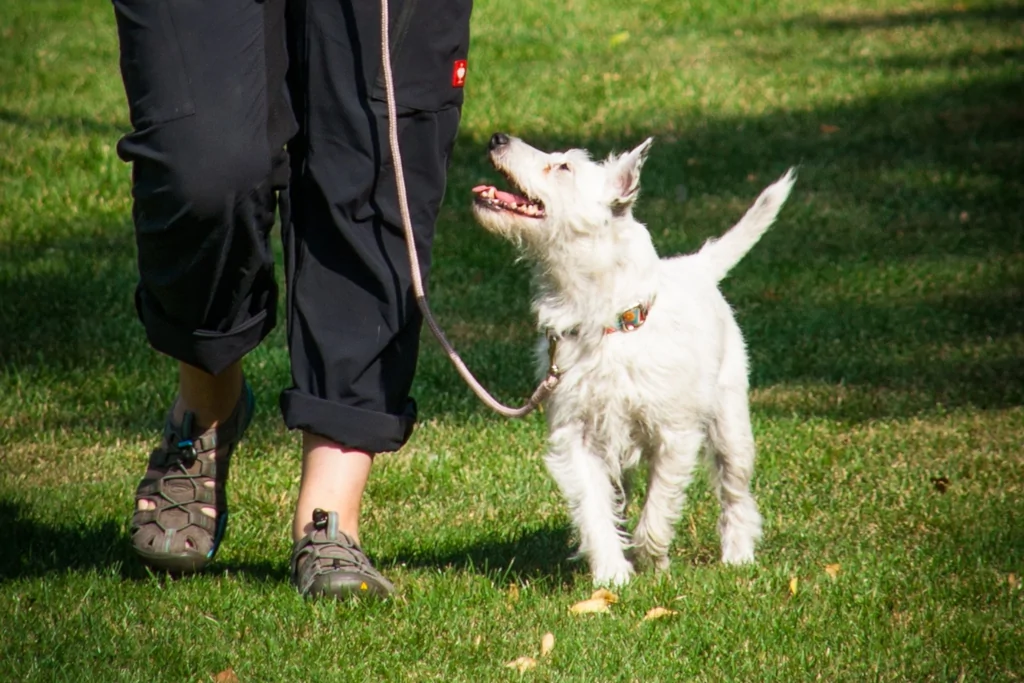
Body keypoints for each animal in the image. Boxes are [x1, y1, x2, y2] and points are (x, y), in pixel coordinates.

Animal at [468, 133, 790, 589]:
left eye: (564, 167)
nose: (497, 138)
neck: (606, 322)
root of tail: (696, 267)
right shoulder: (577, 437)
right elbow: (593, 508)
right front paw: (611, 575)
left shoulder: (674, 436)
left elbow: (657, 509)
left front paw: (653, 562)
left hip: (731, 426)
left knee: (735, 492)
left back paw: (738, 556)